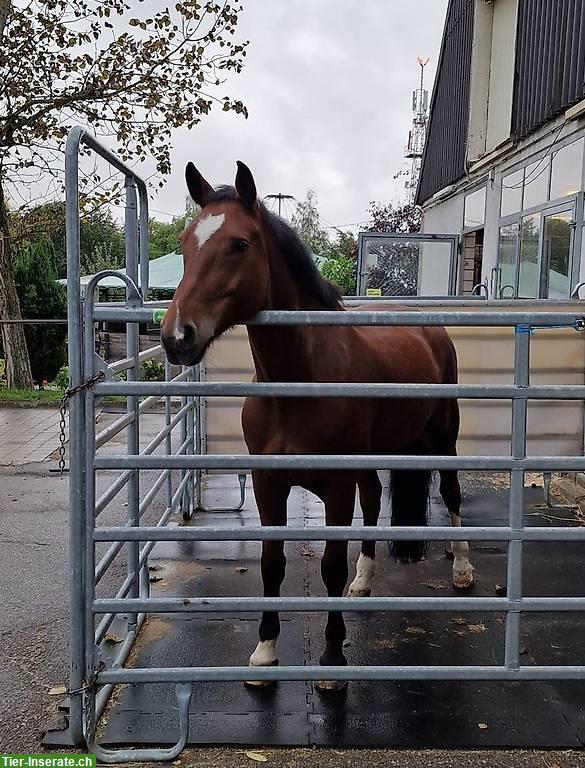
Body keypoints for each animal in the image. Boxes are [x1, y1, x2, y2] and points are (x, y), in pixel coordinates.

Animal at [161, 160, 474, 688]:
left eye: (239, 244)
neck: (300, 379)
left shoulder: (335, 487)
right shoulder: (268, 484)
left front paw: (332, 661)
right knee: (375, 500)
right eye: (185, 242)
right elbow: (271, 564)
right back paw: (364, 581)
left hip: (441, 437)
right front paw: (264, 654)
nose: (176, 337)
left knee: (451, 493)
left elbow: (328, 565)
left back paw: (463, 570)